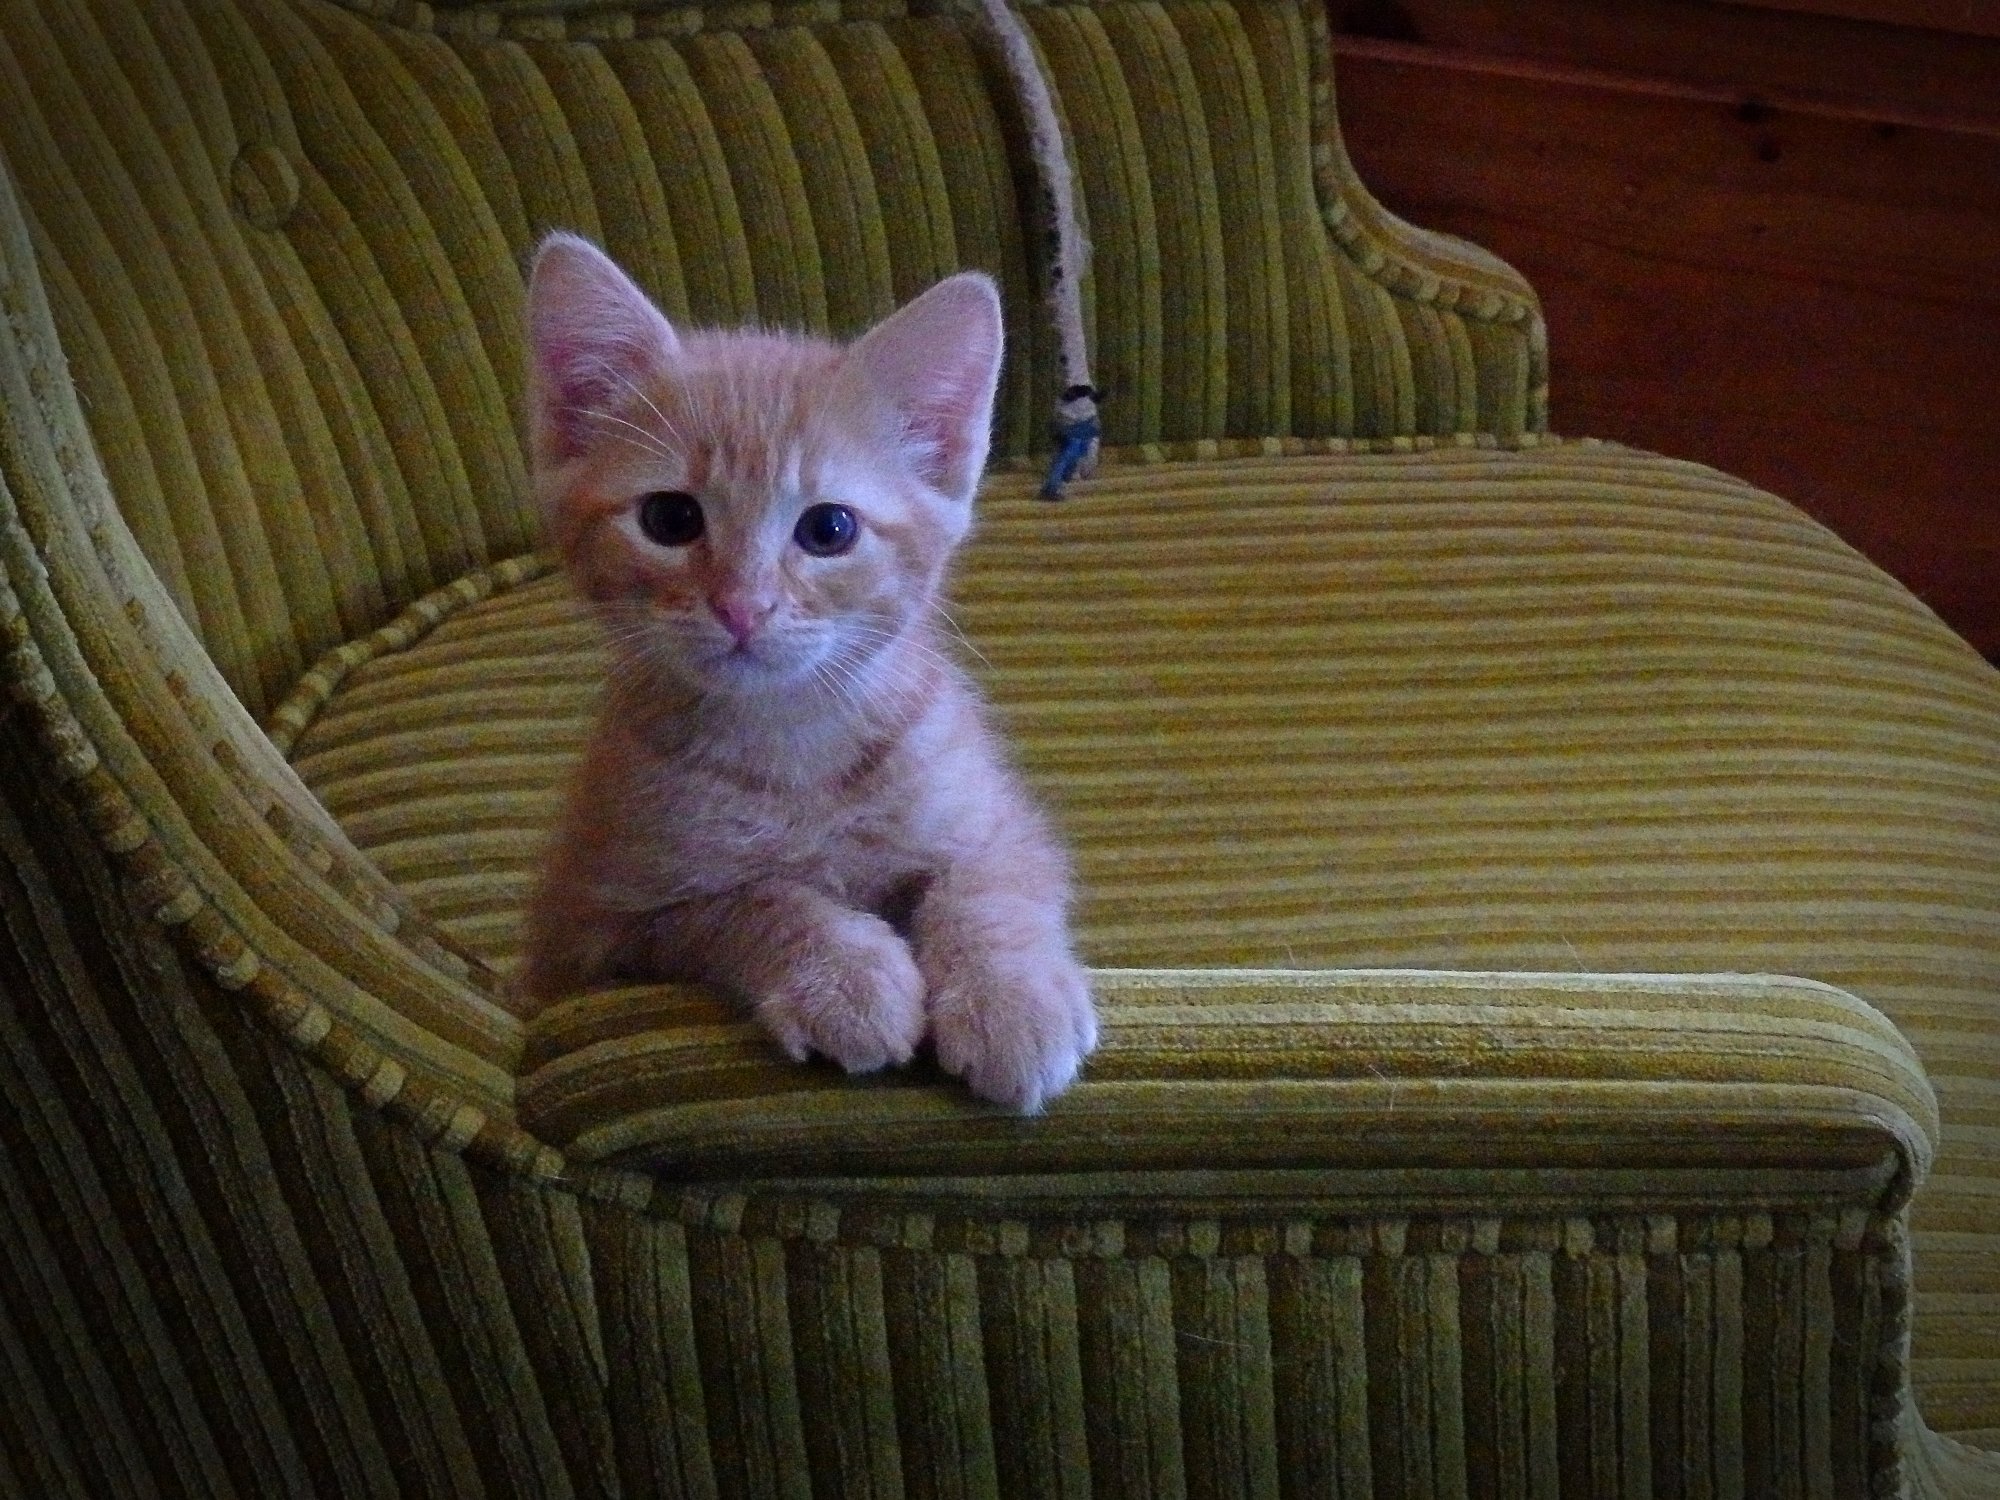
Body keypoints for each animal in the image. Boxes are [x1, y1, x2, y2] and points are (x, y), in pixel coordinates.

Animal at [516, 235, 1096, 1120]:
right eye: (670, 519)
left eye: (829, 529)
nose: (742, 606)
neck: (795, 742)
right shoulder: (598, 927)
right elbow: (749, 902)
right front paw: (845, 976)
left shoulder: (1001, 820)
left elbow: (986, 888)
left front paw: (1009, 998)